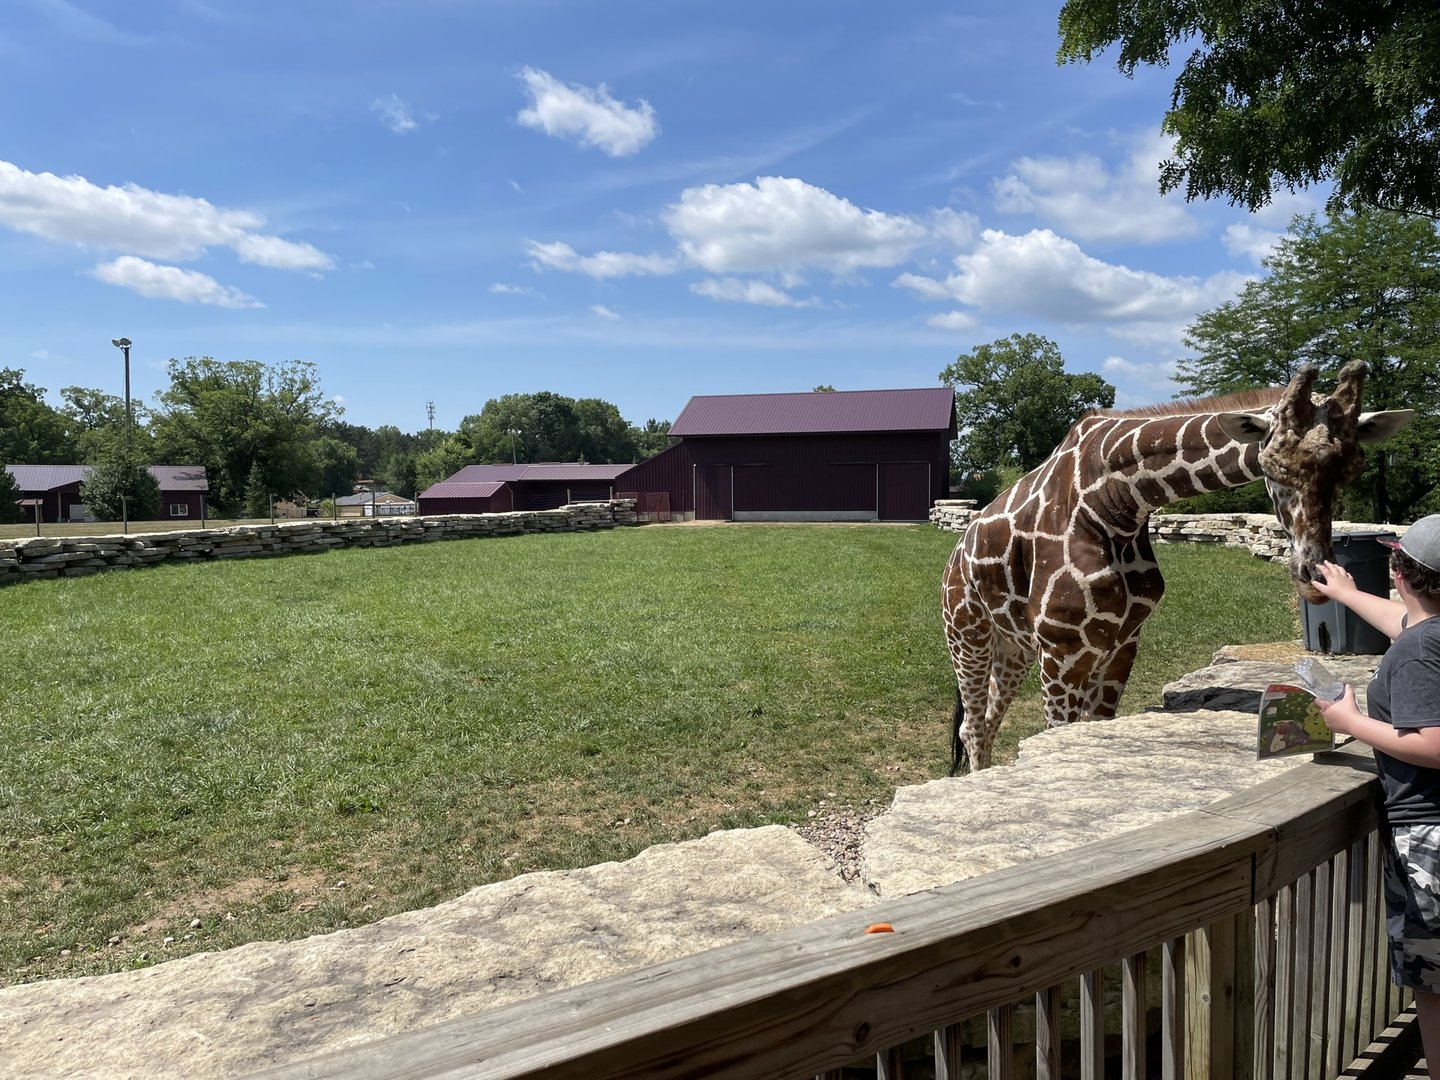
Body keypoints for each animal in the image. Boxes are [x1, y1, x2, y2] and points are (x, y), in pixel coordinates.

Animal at [942, 361, 1413, 773]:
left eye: (1353, 469)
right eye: (1273, 465)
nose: (1314, 577)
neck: (1117, 502)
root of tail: (957, 551)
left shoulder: (1121, 642)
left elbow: (1092, 727)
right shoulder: (1063, 646)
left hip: (1015, 646)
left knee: (988, 719)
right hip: (967, 632)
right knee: (972, 726)